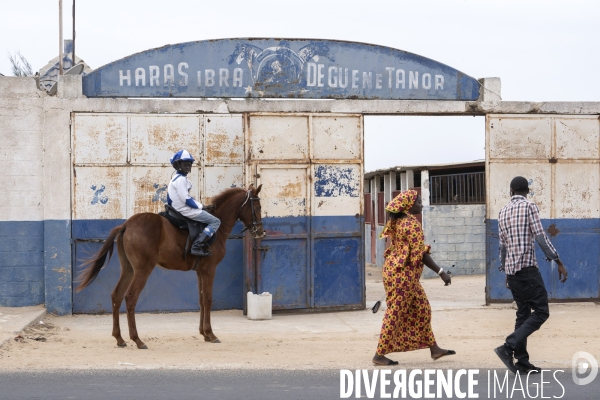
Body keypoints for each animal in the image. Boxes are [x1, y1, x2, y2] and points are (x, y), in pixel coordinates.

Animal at [75, 186, 264, 348]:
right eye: (257, 206)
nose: (260, 232)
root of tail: (126, 224)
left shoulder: (200, 272)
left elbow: (201, 299)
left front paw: (203, 333)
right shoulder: (209, 270)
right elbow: (208, 299)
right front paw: (211, 334)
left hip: (128, 269)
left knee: (117, 296)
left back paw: (119, 338)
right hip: (142, 270)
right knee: (130, 297)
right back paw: (137, 339)